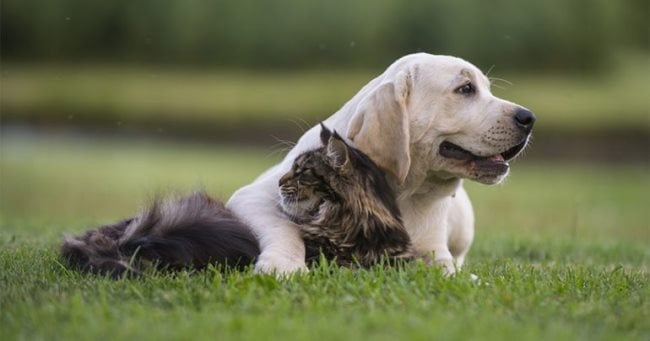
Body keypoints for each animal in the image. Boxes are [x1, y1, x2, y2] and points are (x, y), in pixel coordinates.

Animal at [225, 52, 536, 274]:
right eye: (466, 88)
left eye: (486, 88)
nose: (529, 118)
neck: (406, 193)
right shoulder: (252, 196)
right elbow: (284, 227)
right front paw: (283, 264)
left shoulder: (433, 251)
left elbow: (445, 268)